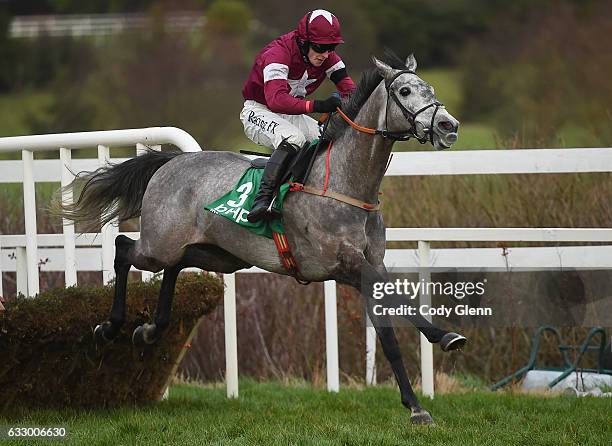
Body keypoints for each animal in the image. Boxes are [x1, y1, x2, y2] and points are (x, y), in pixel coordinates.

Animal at [57, 54, 464, 424]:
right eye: (405, 91)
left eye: (430, 89)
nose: (449, 125)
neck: (343, 183)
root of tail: (168, 163)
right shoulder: (347, 264)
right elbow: (397, 308)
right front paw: (442, 343)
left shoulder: (369, 264)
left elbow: (389, 334)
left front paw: (418, 397)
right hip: (160, 244)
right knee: (125, 250)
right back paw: (110, 327)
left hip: (218, 253)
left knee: (175, 266)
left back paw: (150, 329)